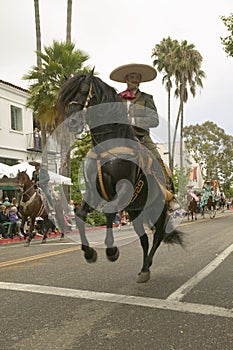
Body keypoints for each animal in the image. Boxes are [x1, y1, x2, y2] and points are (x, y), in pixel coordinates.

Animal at [57, 69, 184, 284]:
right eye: (67, 96)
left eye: (83, 91)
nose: (72, 122)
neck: (106, 145)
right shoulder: (94, 191)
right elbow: (80, 215)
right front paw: (89, 253)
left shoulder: (123, 188)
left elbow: (110, 212)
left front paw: (112, 251)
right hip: (136, 212)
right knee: (144, 240)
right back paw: (144, 269)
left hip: (158, 210)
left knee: (158, 237)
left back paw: (146, 267)